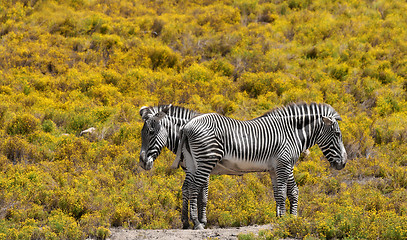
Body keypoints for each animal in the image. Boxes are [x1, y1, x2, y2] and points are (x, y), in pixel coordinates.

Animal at [174, 102, 350, 230]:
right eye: (338, 134)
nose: (343, 163)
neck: (292, 133)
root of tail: (187, 126)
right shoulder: (285, 164)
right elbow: (287, 192)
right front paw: (288, 219)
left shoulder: (274, 169)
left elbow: (280, 193)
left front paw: (283, 218)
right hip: (206, 159)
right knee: (194, 187)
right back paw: (197, 223)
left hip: (192, 162)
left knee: (187, 187)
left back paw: (186, 222)